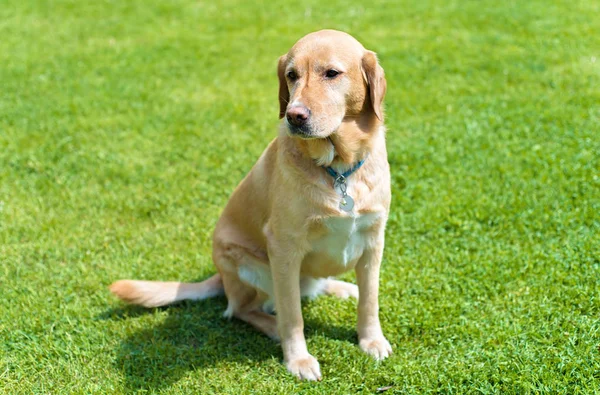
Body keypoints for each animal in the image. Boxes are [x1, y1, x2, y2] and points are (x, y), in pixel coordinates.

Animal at [111, 29, 394, 382]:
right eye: (291, 75)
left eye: (332, 73)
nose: (294, 116)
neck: (338, 169)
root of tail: (221, 277)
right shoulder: (284, 248)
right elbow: (292, 315)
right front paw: (298, 359)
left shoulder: (373, 240)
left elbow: (370, 300)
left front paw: (371, 340)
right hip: (250, 266)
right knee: (243, 310)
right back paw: (272, 326)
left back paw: (341, 288)